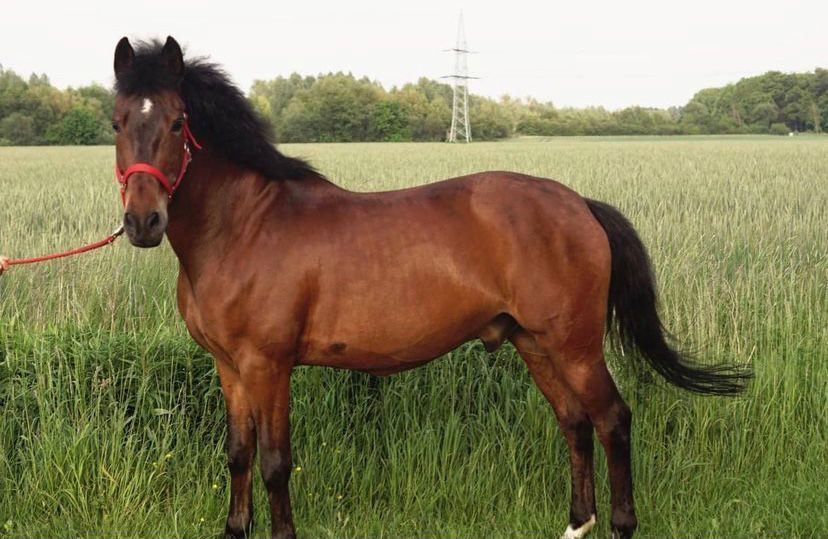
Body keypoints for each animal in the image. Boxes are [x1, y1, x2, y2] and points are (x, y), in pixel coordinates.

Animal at [110, 36, 750, 539]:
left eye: (177, 123)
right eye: (116, 122)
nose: (144, 222)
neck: (245, 225)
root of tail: (577, 204)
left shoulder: (268, 366)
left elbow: (273, 462)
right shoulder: (229, 367)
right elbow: (239, 455)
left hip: (575, 346)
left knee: (613, 419)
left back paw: (619, 524)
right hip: (534, 342)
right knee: (575, 422)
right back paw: (576, 523)